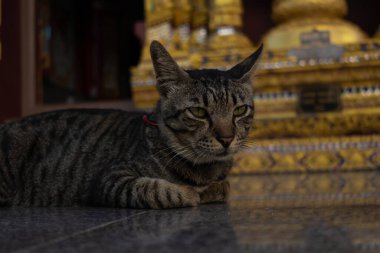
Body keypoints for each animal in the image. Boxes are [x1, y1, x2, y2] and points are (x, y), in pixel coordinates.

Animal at [0, 41, 262, 208]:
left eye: (240, 110)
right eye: (198, 112)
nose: (227, 139)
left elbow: (225, 186)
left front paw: (211, 189)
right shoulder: (110, 179)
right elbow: (157, 190)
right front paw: (190, 193)